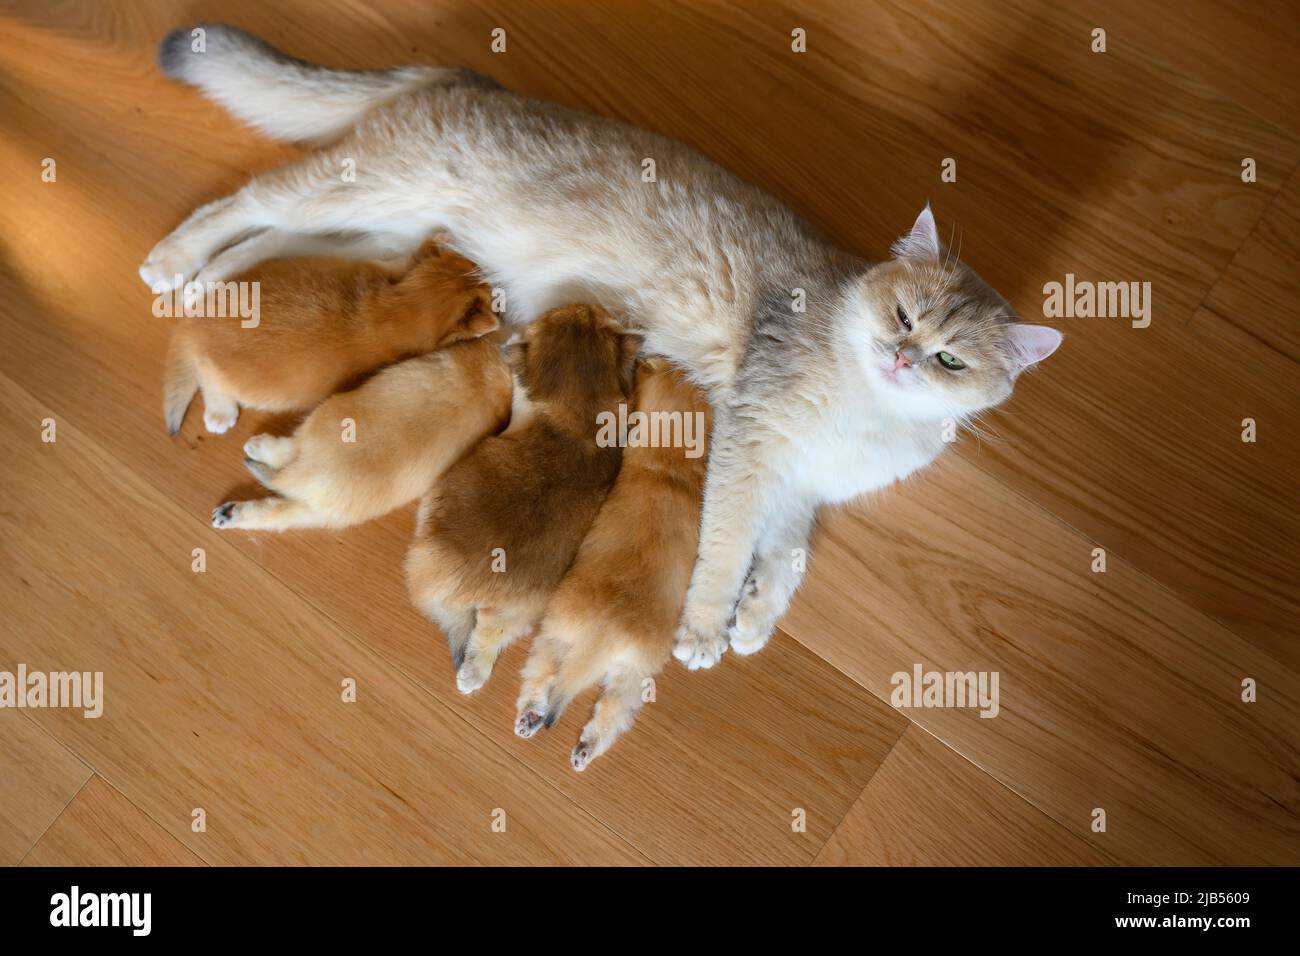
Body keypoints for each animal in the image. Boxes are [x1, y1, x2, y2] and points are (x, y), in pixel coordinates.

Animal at [158, 238, 491, 434]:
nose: (484, 269)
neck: (383, 311)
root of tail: (193, 324)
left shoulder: (382, 270)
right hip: (224, 374)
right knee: (208, 378)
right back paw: (220, 412)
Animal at [210, 335, 509, 530]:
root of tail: (303, 477)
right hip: (315, 508)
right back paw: (228, 514)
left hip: (319, 421)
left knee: (288, 450)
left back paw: (255, 451)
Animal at [400, 306, 634, 697]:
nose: (586, 306)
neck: (578, 422)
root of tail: (470, 581)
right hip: (521, 612)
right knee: (487, 639)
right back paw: (472, 676)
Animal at [512, 358, 712, 770]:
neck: (667, 463)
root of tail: (604, 633)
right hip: (631, 678)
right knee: (608, 714)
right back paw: (581, 747)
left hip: (557, 633)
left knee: (544, 676)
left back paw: (532, 718)